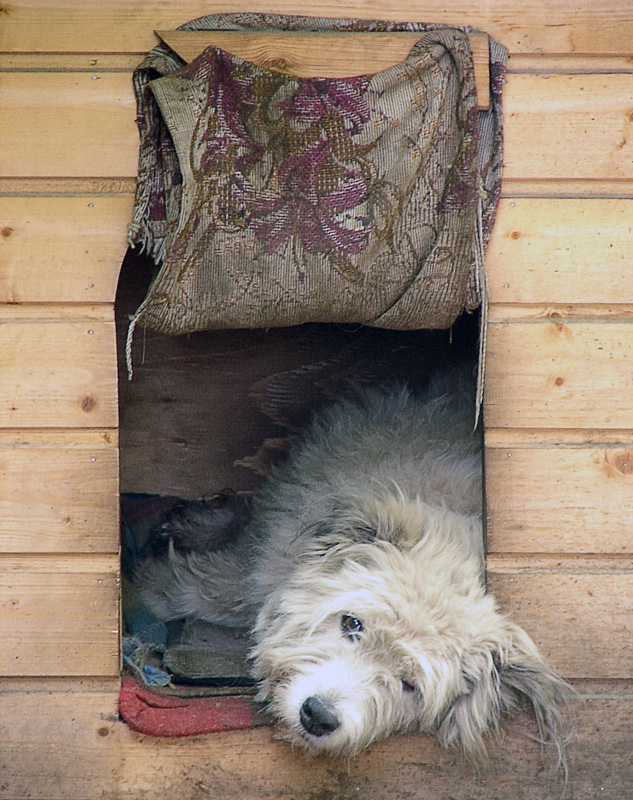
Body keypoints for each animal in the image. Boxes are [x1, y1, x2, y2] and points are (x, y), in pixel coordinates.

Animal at [136, 368, 572, 768]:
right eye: (351, 623)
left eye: (409, 684)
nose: (318, 716)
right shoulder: (266, 555)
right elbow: (204, 587)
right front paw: (147, 584)